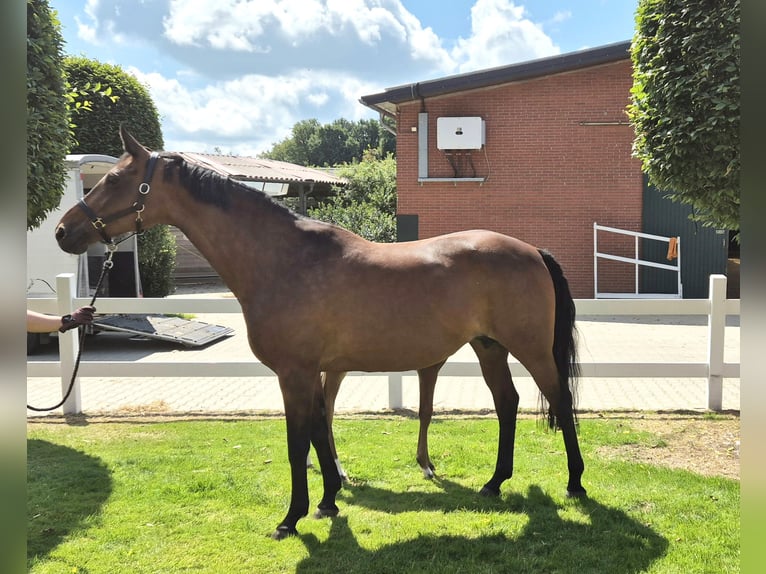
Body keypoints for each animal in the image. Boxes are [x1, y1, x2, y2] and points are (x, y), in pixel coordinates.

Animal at [55, 125, 588, 540]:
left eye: (114, 179)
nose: (63, 231)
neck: (283, 259)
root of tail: (531, 250)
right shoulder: (313, 372)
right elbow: (318, 430)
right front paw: (329, 499)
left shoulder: (293, 373)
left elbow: (298, 443)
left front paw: (290, 518)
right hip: (489, 347)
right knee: (508, 403)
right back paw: (495, 483)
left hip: (530, 349)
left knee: (560, 400)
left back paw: (575, 483)